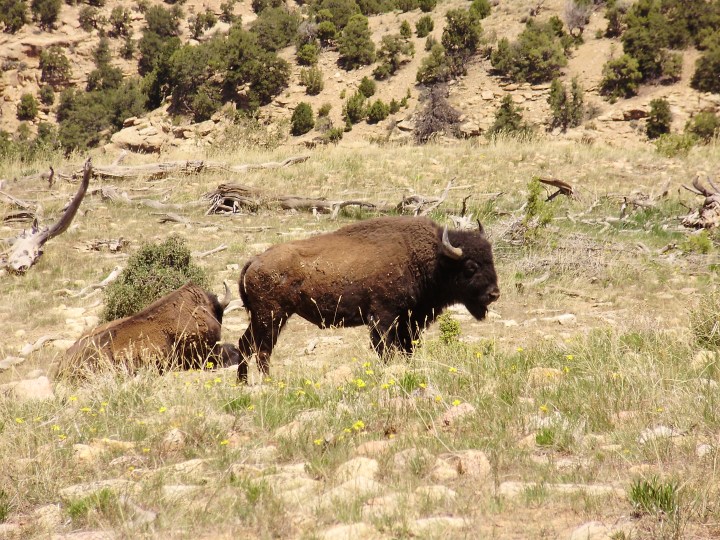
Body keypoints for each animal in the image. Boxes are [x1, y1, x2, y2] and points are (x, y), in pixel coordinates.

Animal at [237, 216, 499, 380]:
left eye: (491, 259)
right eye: (471, 266)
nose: (494, 294)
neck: (430, 259)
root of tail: (255, 260)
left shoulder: (408, 321)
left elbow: (407, 349)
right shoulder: (384, 317)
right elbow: (386, 350)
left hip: (260, 319)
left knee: (245, 344)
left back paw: (242, 383)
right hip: (272, 318)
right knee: (262, 351)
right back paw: (267, 382)